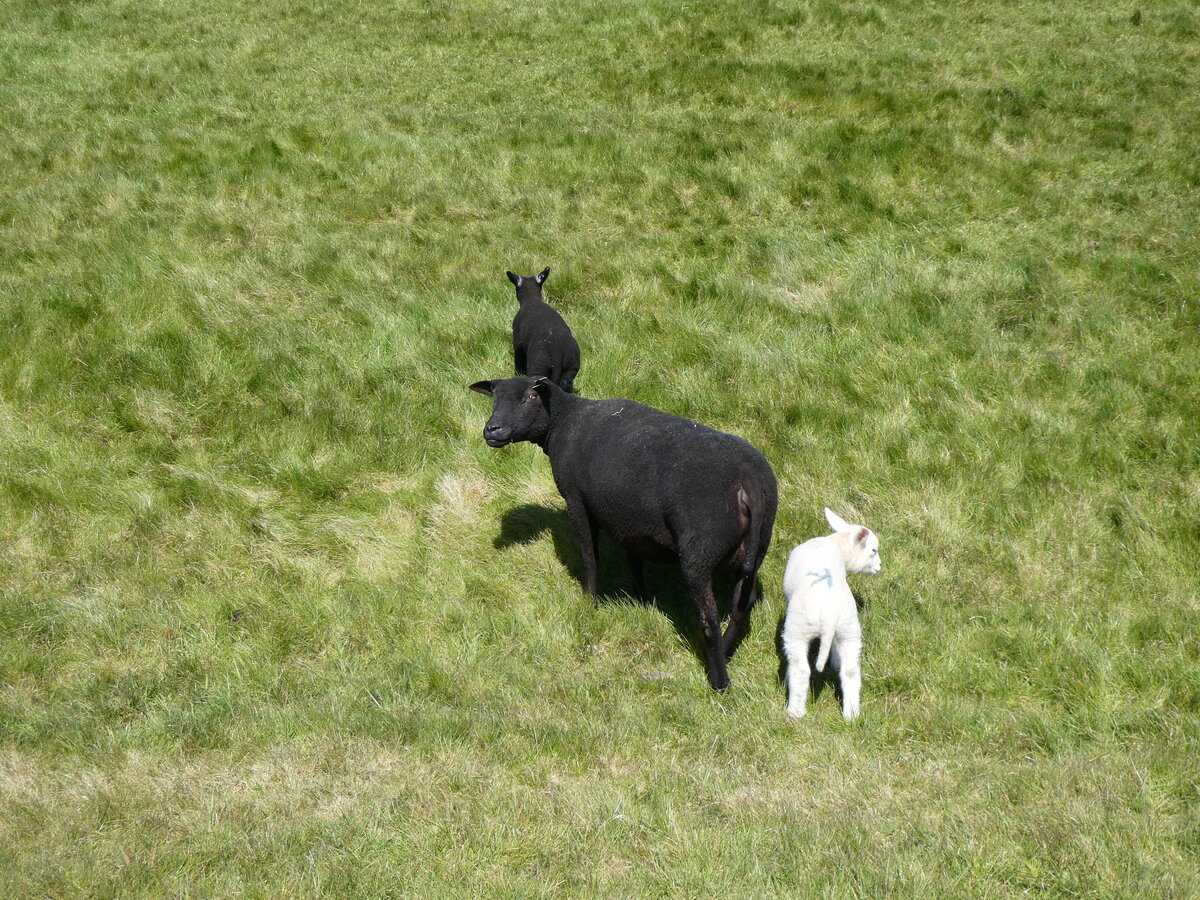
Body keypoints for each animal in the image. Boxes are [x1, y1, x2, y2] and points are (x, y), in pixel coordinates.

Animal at [469, 375, 778, 690]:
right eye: (494, 398)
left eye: (529, 397)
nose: (492, 430)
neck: (565, 420)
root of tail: (749, 480)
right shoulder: (630, 519)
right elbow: (634, 559)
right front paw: (642, 599)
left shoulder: (577, 501)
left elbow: (590, 557)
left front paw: (589, 603)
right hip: (756, 546)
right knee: (742, 603)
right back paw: (726, 653)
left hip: (700, 550)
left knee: (709, 616)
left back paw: (719, 681)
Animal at [781, 508, 881, 720]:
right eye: (873, 550)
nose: (880, 566)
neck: (836, 543)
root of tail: (828, 612)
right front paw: (835, 661)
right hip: (848, 627)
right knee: (850, 670)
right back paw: (851, 714)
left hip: (798, 628)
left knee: (801, 670)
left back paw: (795, 712)